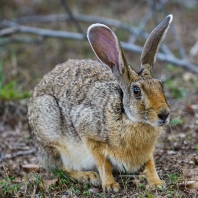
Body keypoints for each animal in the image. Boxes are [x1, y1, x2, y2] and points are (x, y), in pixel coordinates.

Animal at [27, 14, 172, 192]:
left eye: (160, 85)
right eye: (137, 91)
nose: (164, 114)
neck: (127, 117)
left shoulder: (147, 153)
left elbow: (150, 163)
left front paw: (157, 183)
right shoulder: (90, 136)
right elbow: (103, 164)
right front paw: (110, 185)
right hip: (50, 132)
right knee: (61, 168)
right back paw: (89, 176)